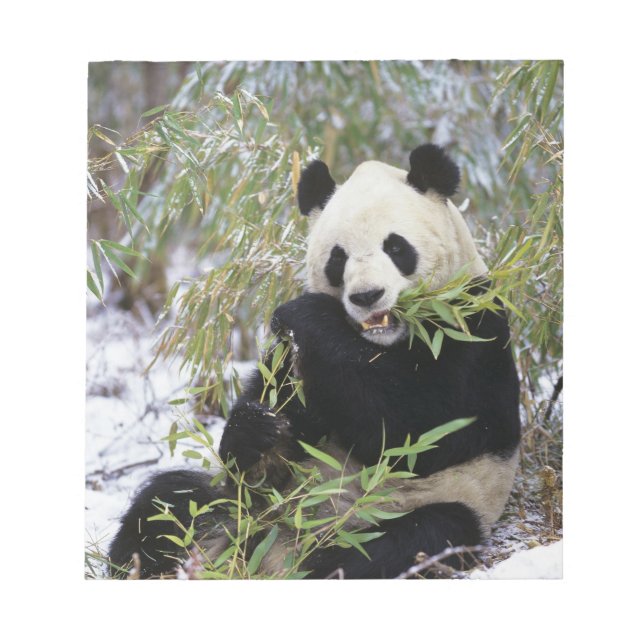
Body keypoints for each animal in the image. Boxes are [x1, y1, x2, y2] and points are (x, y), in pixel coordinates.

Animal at [108, 143, 521, 579]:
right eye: (338, 258)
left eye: (396, 247)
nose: (367, 296)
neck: (378, 342)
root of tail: (278, 544)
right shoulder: (293, 359)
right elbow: (278, 420)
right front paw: (257, 430)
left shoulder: (471, 328)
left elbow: (421, 430)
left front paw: (308, 314)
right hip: (239, 508)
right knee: (169, 503)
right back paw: (143, 564)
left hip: (434, 504)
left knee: (405, 542)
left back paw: (319, 564)